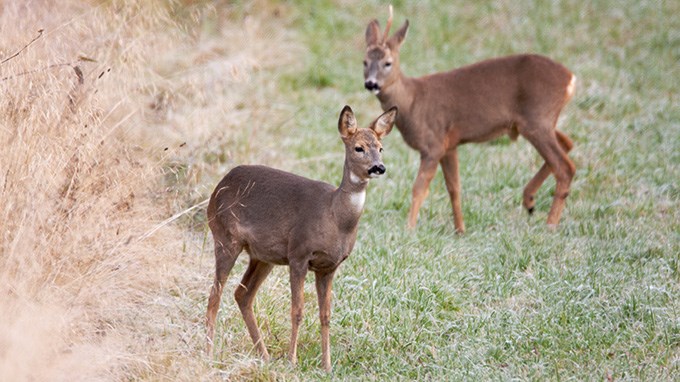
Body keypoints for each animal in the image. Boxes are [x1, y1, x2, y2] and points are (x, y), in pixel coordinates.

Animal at [206, 103, 398, 370]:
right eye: (358, 147)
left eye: (381, 148)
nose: (379, 167)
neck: (335, 217)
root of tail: (216, 190)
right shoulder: (299, 254)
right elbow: (297, 311)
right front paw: (292, 361)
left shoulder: (329, 266)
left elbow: (325, 315)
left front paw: (327, 366)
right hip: (225, 237)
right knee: (215, 294)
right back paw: (208, 353)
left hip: (262, 256)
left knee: (242, 294)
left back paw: (264, 355)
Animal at [364, 6, 576, 233]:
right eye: (364, 62)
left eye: (388, 63)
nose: (371, 83)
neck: (412, 102)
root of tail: (570, 79)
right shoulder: (450, 145)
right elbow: (454, 188)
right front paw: (460, 230)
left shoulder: (433, 144)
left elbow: (419, 188)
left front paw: (409, 228)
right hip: (537, 121)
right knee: (567, 143)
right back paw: (529, 201)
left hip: (537, 119)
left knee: (565, 167)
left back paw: (550, 224)